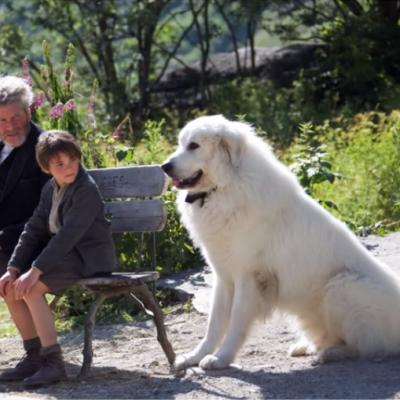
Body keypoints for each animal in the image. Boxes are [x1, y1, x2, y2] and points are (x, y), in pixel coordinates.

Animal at [161, 114, 400, 370]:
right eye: (180, 144)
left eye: (194, 146)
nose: (164, 167)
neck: (226, 186)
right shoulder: (224, 277)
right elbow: (213, 326)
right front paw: (194, 357)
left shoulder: (248, 278)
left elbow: (235, 323)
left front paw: (221, 358)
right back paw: (308, 347)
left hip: (342, 286)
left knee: (363, 346)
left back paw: (329, 354)